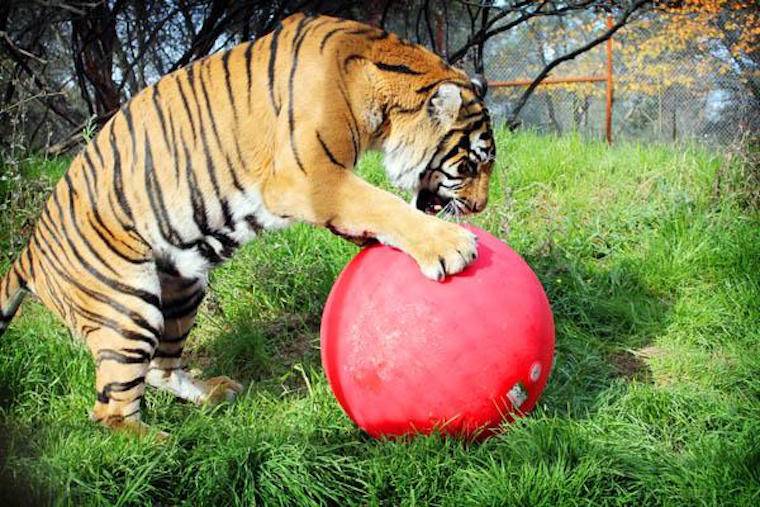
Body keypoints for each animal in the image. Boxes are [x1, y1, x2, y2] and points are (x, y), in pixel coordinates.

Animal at [0, 13, 495, 435]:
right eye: (471, 165)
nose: (479, 207)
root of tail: (27, 253)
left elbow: (368, 214)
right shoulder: (308, 176)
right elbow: (381, 203)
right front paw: (450, 245)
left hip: (181, 288)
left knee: (160, 369)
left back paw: (213, 394)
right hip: (126, 305)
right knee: (109, 411)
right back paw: (161, 444)